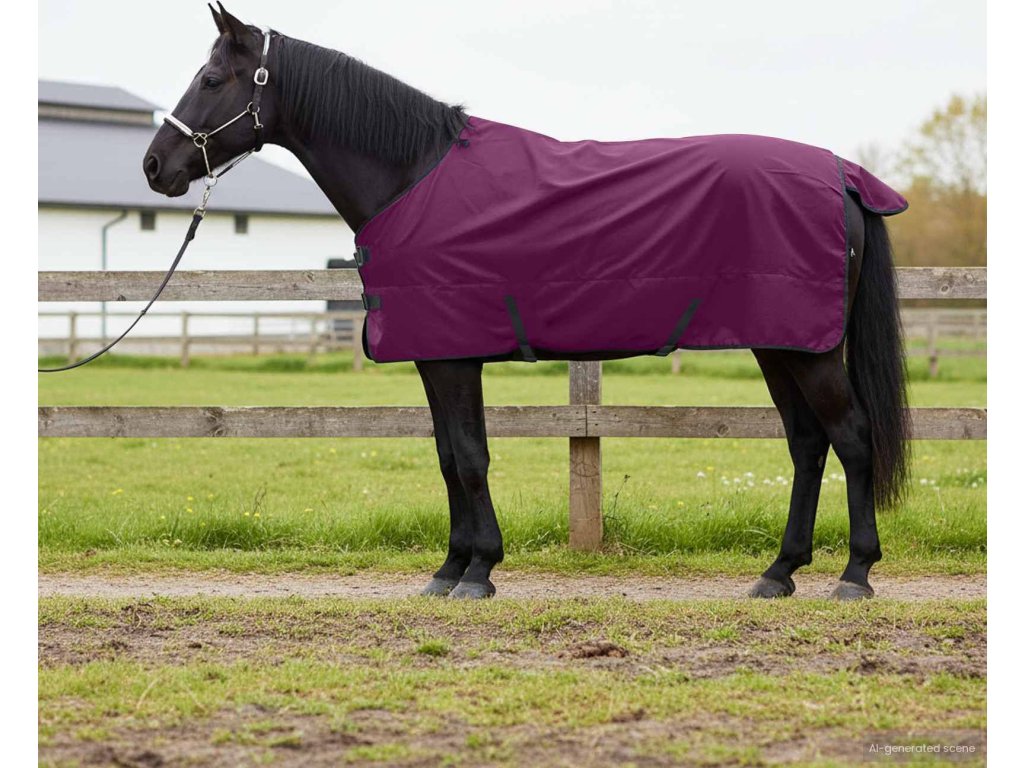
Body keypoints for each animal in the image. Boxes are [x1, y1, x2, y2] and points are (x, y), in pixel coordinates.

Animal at [144, 3, 910, 601]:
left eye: (210, 79)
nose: (155, 166)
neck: (411, 176)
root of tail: (842, 175)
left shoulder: (454, 357)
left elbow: (470, 457)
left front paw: (478, 571)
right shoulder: (436, 356)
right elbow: (448, 456)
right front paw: (450, 567)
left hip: (806, 351)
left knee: (852, 437)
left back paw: (855, 574)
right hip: (780, 344)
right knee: (807, 443)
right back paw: (779, 573)